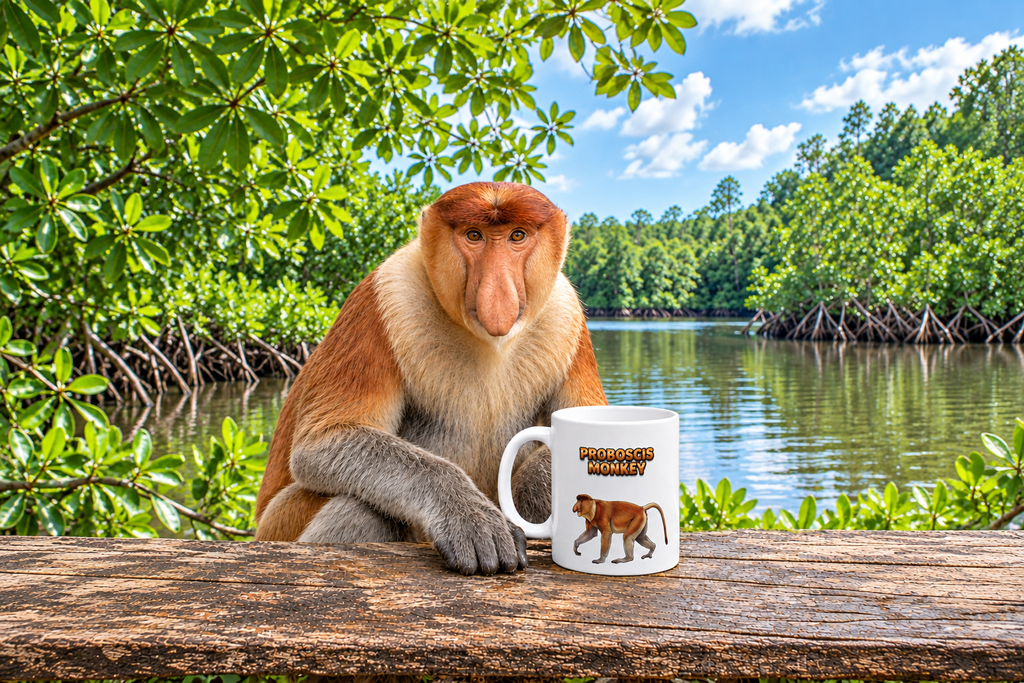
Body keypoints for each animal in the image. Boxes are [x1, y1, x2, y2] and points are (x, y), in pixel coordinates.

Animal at [254, 182, 608, 576]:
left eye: (517, 236)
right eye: (473, 236)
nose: (497, 293)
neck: (487, 343)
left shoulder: (567, 315)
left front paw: (526, 498)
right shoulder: (382, 300)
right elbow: (322, 442)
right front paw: (473, 517)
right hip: (282, 521)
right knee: (361, 508)